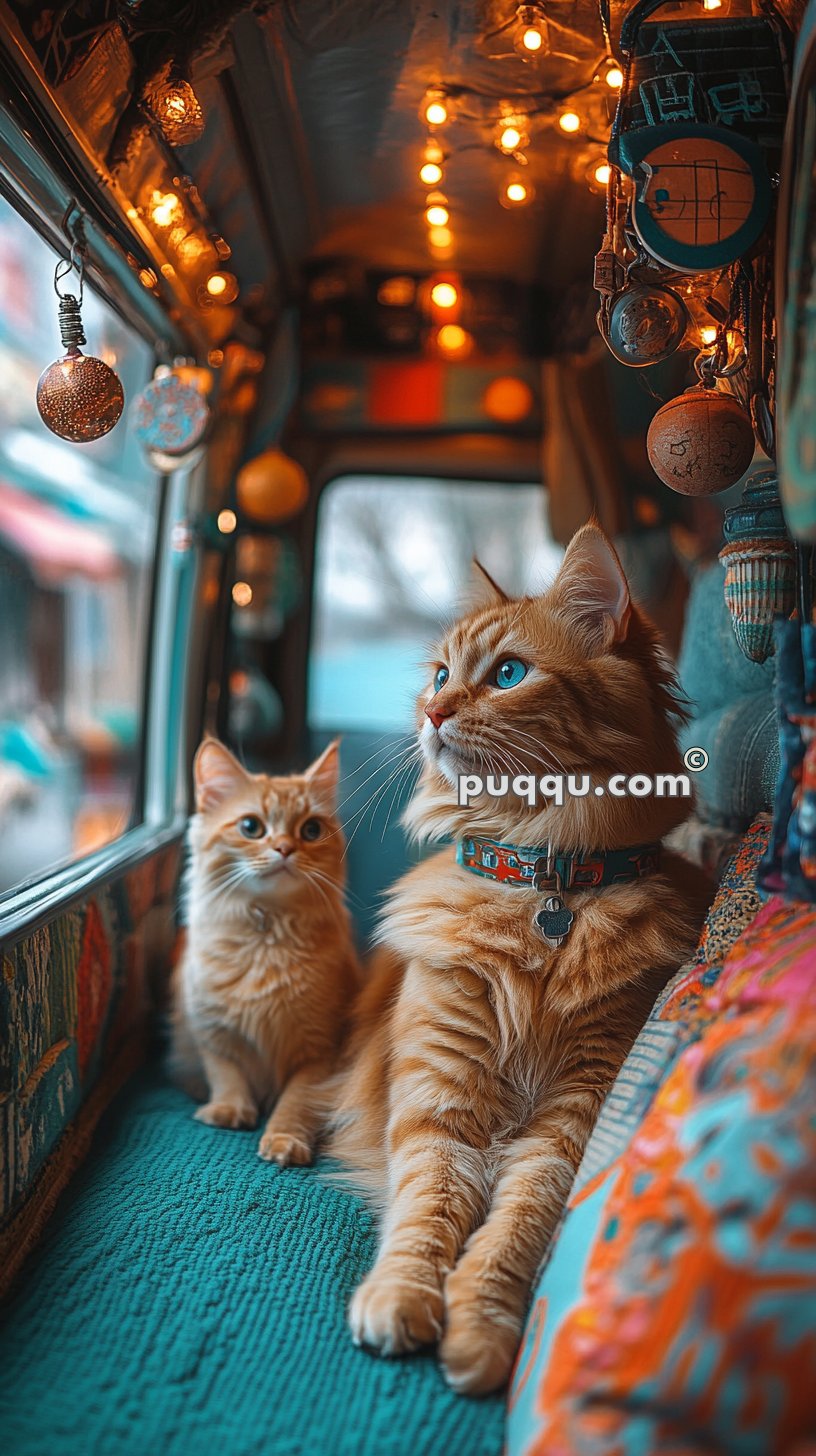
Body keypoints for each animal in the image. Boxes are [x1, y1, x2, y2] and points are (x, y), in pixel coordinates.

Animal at [170, 733, 358, 1164]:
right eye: (251, 827)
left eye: (311, 830)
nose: (285, 849)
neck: (268, 935)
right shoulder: (213, 1032)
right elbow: (227, 1075)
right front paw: (229, 1110)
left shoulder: (319, 1050)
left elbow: (295, 1102)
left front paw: (284, 1139)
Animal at [327, 524, 711, 1397]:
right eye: (440, 674)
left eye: (507, 674)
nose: (432, 711)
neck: (543, 883)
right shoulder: (440, 1106)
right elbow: (427, 1214)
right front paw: (402, 1296)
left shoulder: (569, 1123)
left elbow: (514, 1232)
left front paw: (480, 1327)